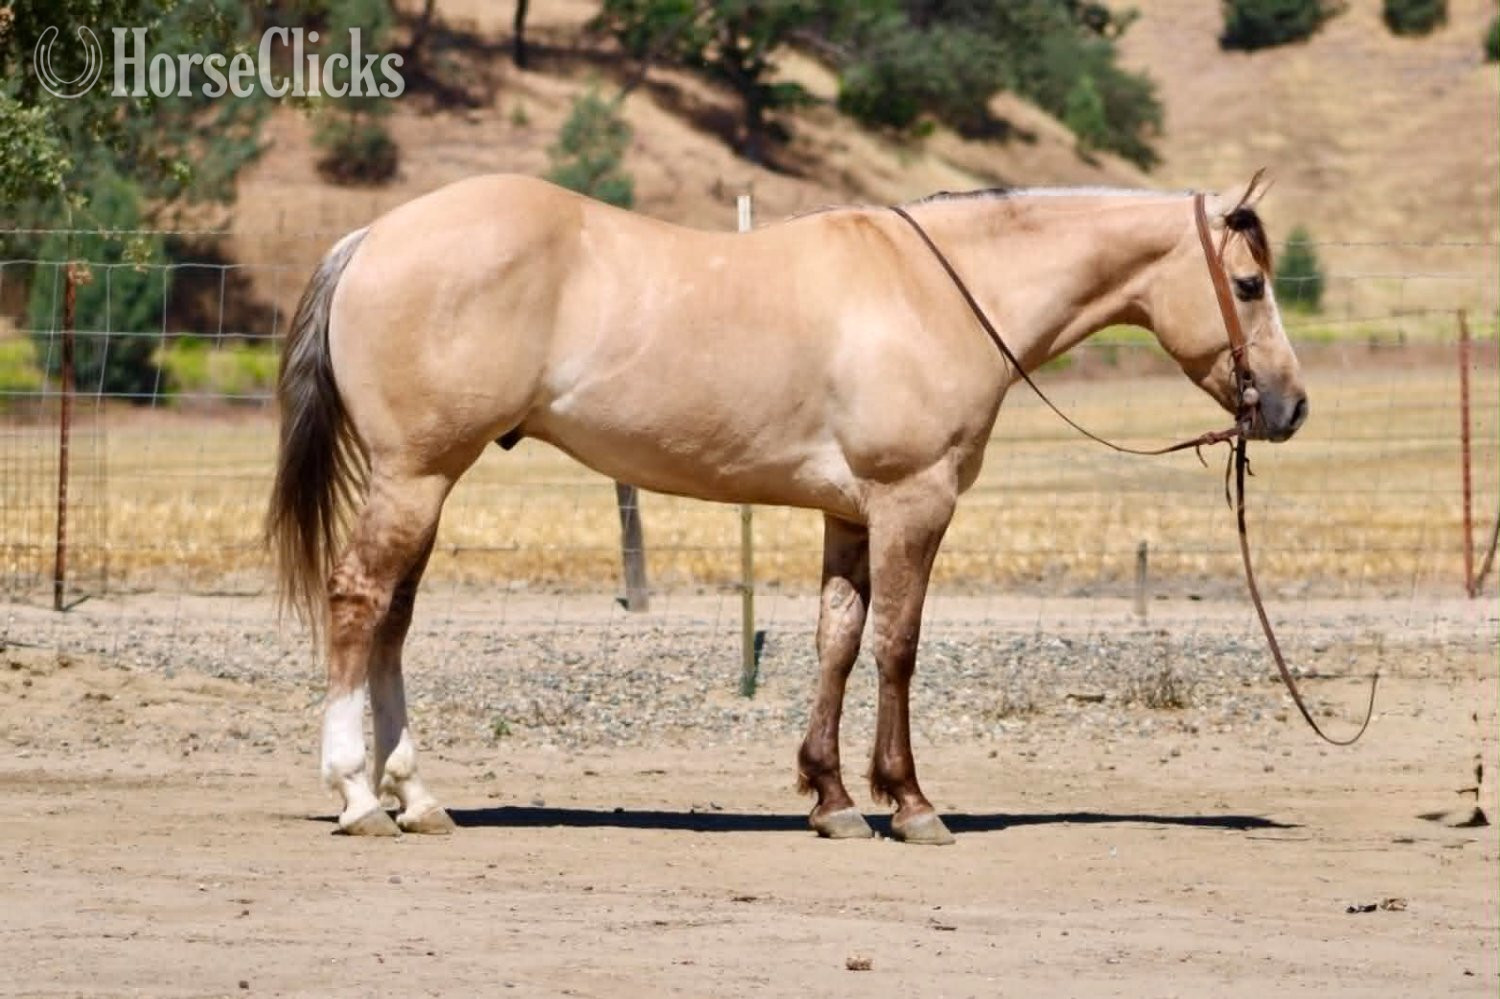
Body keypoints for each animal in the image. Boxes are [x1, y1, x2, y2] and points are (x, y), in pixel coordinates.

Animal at [266, 174, 1304, 845]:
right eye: (1248, 284)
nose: (1290, 407)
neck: (939, 292)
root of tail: (373, 239)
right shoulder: (912, 503)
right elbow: (897, 645)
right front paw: (910, 803)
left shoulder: (849, 516)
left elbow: (836, 642)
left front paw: (831, 797)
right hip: (415, 475)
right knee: (359, 600)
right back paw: (359, 796)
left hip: (428, 481)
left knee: (394, 618)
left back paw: (417, 796)